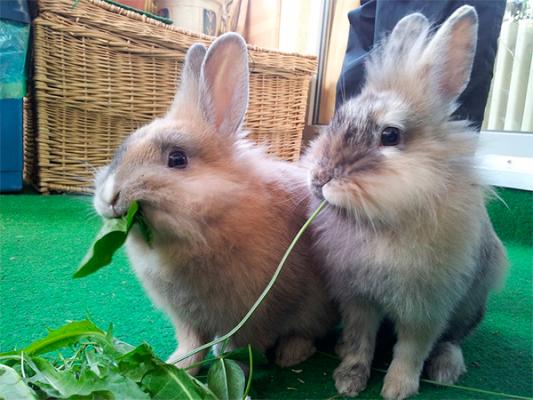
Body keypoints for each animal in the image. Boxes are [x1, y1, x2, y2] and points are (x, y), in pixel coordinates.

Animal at [91, 32, 332, 374]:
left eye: (177, 159)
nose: (110, 196)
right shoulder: (187, 320)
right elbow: (192, 345)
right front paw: (178, 367)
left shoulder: (253, 316)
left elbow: (240, 347)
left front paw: (231, 367)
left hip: (316, 306)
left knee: (308, 331)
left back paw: (291, 355)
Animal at [304, 7, 508, 400]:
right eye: (337, 120)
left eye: (390, 135)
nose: (319, 178)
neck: (381, 223)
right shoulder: (358, 300)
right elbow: (361, 341)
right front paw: (348, 379)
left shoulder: (425, 308)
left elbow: (412, 350)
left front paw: (397, 389)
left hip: (470, 305)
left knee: (452, 339)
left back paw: (446, 369)